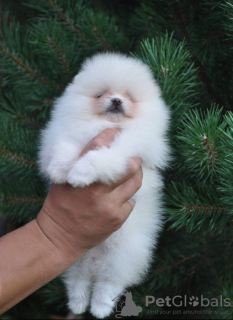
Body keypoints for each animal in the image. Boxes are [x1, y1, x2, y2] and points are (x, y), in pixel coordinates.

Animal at [38, 52, 169, 318]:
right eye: (100, 95)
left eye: (130, 97)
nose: (116, 100)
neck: (104, 125)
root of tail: (94, 259)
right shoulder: (61, 134)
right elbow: (63, 146)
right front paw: (60, 170)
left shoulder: (126, 151)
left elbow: (101, 157)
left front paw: (80, 173)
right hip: (74, 257)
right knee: (77, 280)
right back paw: (78, 302)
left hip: (122, 254)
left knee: (110, 283)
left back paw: (99, 307)